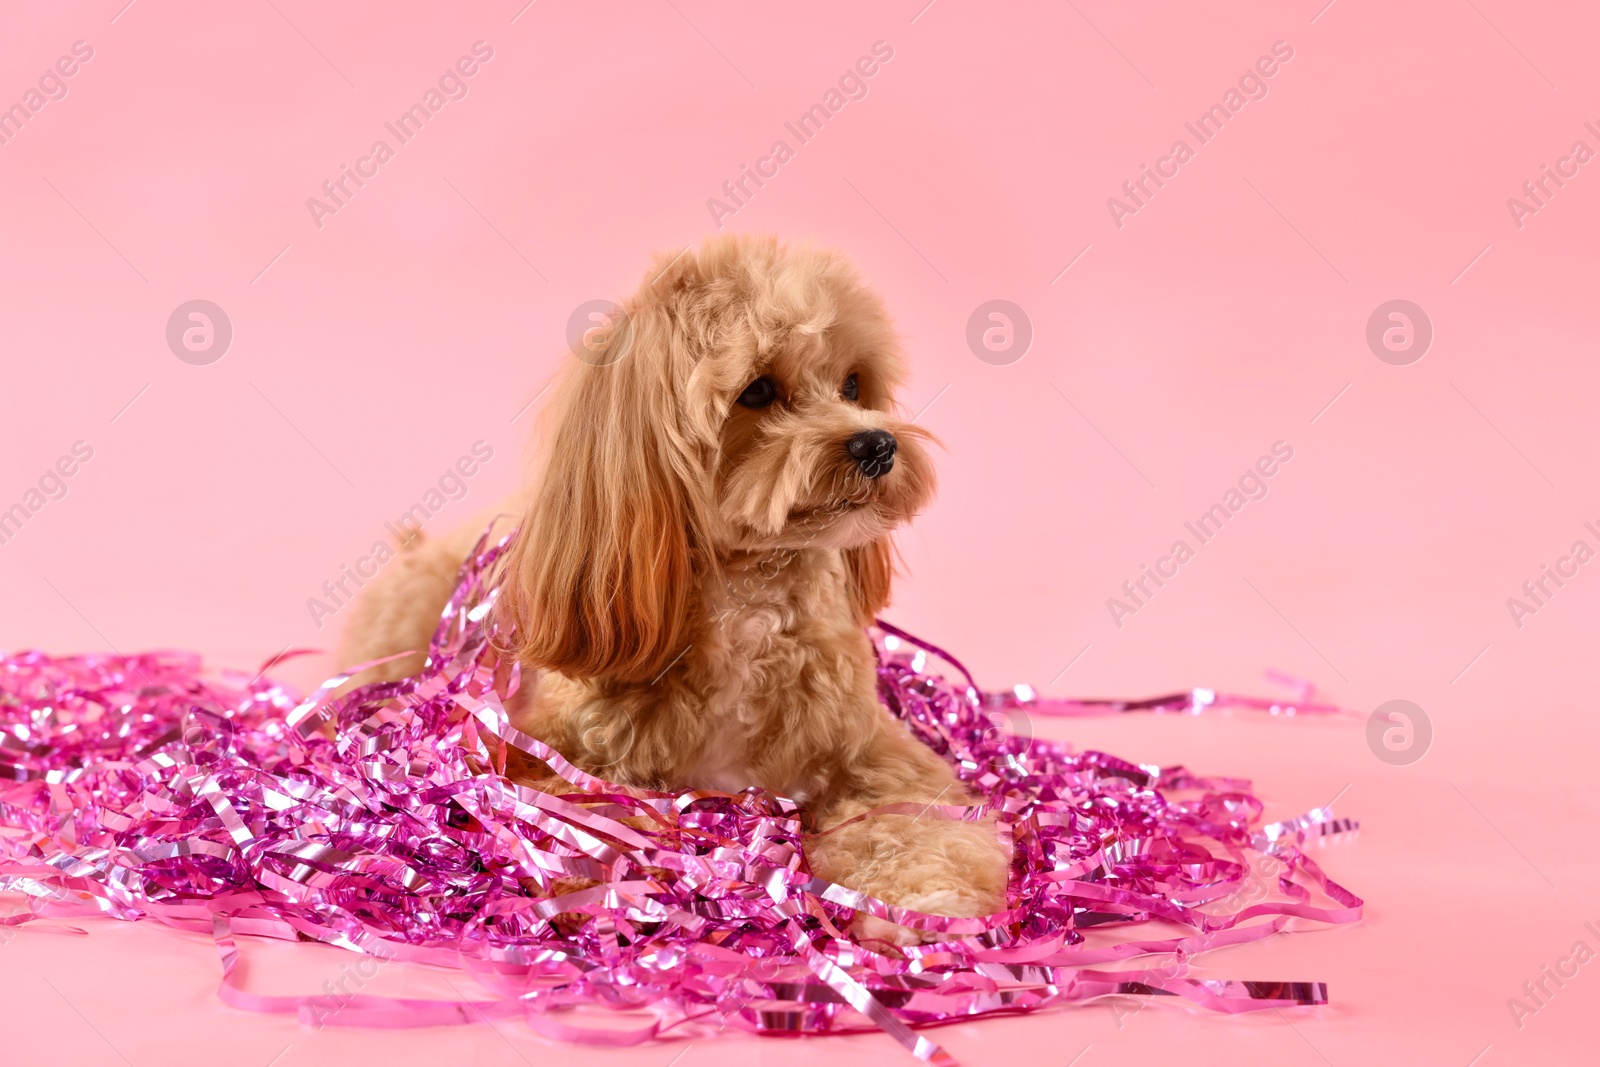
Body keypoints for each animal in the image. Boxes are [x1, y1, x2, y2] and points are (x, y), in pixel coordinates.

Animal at [340, 233, 1011, 940]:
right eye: (758, 390)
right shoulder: (540, 754)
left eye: (854, 383)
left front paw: (925, 903)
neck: (747, 605)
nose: (877, 444)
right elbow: (582, 815)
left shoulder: (877, 753)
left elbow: (914, 825)